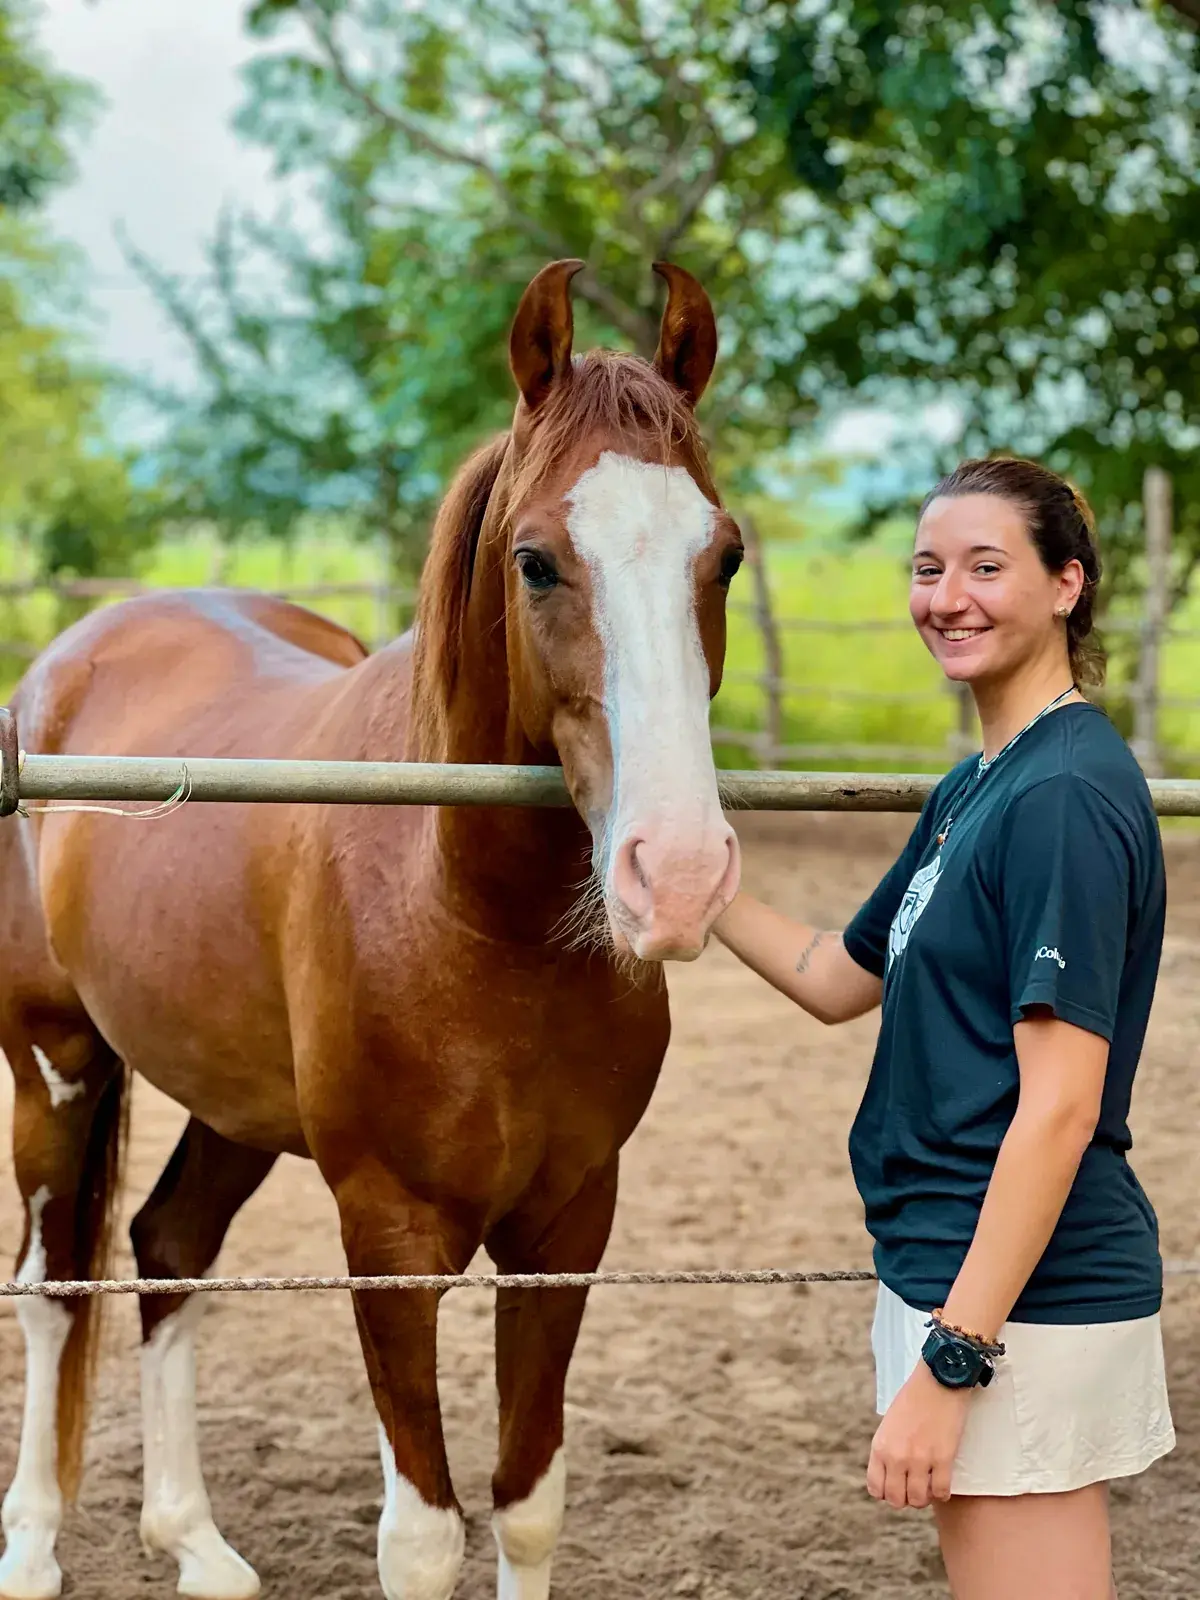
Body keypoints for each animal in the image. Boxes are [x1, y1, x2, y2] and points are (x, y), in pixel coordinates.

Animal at [0, 257, 744, 1600]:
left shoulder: (567, 1227)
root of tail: (64, 664)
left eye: (724, 556)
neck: (486, 925)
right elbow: (424, 1536)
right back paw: (30, 1541)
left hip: (235, 1101)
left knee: (167, 1245)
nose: (679, 872)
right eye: (536, 561)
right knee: (52, 1284)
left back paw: (194, 1542)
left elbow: (528, 1504)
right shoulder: (390, 1236)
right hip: (56, 1064)